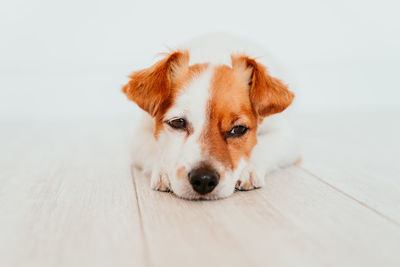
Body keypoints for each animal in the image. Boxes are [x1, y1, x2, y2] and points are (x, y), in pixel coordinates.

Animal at [122, 33, 300, 200]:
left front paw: (248, 168)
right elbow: (155, 148)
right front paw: (164, 170)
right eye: (178, 123)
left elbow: (262, 146)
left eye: (238, 129)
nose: (204, 180)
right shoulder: (139, 135)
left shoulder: (288, 140)